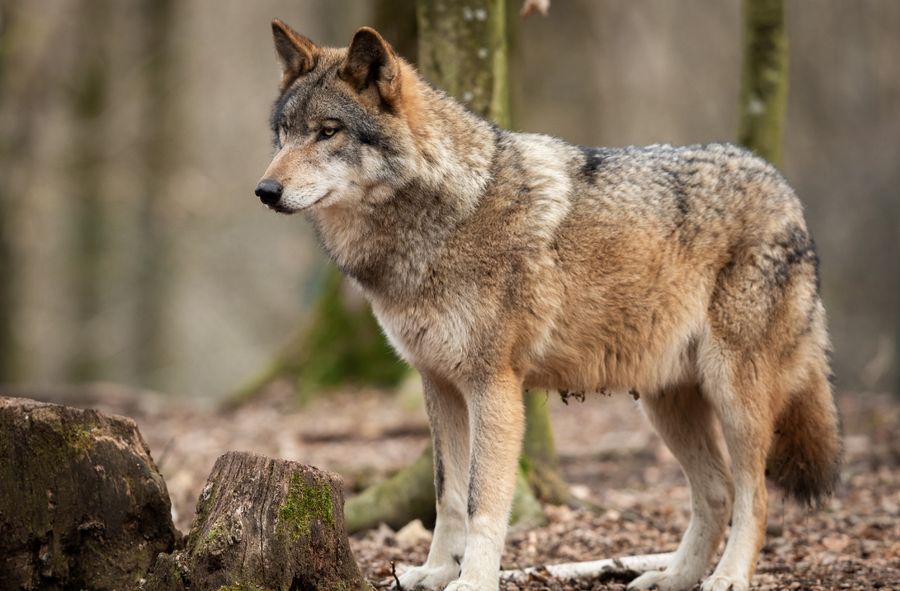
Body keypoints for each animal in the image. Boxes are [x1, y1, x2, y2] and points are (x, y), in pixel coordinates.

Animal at [255, 20, 844, 591]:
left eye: (328, 131)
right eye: (283, 133)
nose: (265, 190)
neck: (440, 217)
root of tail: (786, 189)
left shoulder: (494, 385)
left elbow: (482, 500)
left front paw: (472, 581)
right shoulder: (438, 384)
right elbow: (447, 494)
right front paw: (436, 571)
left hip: (734, 396)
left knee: (755, 496)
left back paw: (728, 578)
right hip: (666, 403)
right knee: (716, 493)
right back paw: (673, 577)